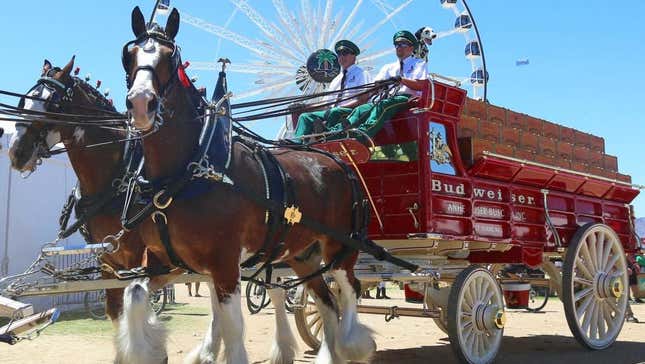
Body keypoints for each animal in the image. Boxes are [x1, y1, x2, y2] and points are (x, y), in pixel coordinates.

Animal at [7, 58, 156, 326]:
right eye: (23, 101)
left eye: (52, 104)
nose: (16, 152)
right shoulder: (105, 258)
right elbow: (116, 314)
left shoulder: (134, 256)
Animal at [122, 6, 372, 364]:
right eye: (129, 55)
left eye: (171, 57)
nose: (142, 103)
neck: (188, 172)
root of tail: (336, 159)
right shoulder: (169, 263)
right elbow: (135, 293)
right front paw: (147, 350)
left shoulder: (225, 265)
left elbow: (232, 327)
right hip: (303, 255)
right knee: (326, 302)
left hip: (341, 247)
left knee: (350, 289)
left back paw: (354, 345)